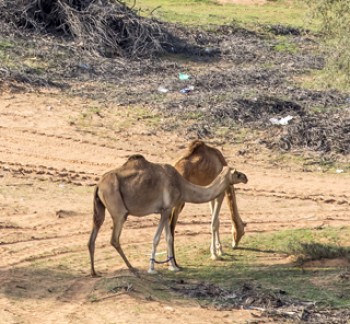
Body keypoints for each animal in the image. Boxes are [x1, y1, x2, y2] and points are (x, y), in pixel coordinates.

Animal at [87, 154, 247, 276]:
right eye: (237, 173)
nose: (246, 177)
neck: (182, 185)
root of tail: (98, 185)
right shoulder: (167, 209)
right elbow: (157, 238)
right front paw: (152, 269)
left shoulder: (166, 210)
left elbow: (168, 237)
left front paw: (173, 266)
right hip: (118, 209)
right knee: (114, 239)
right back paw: (132, 267)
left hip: (100, 207)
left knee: (93, 236)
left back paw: (94, 272)